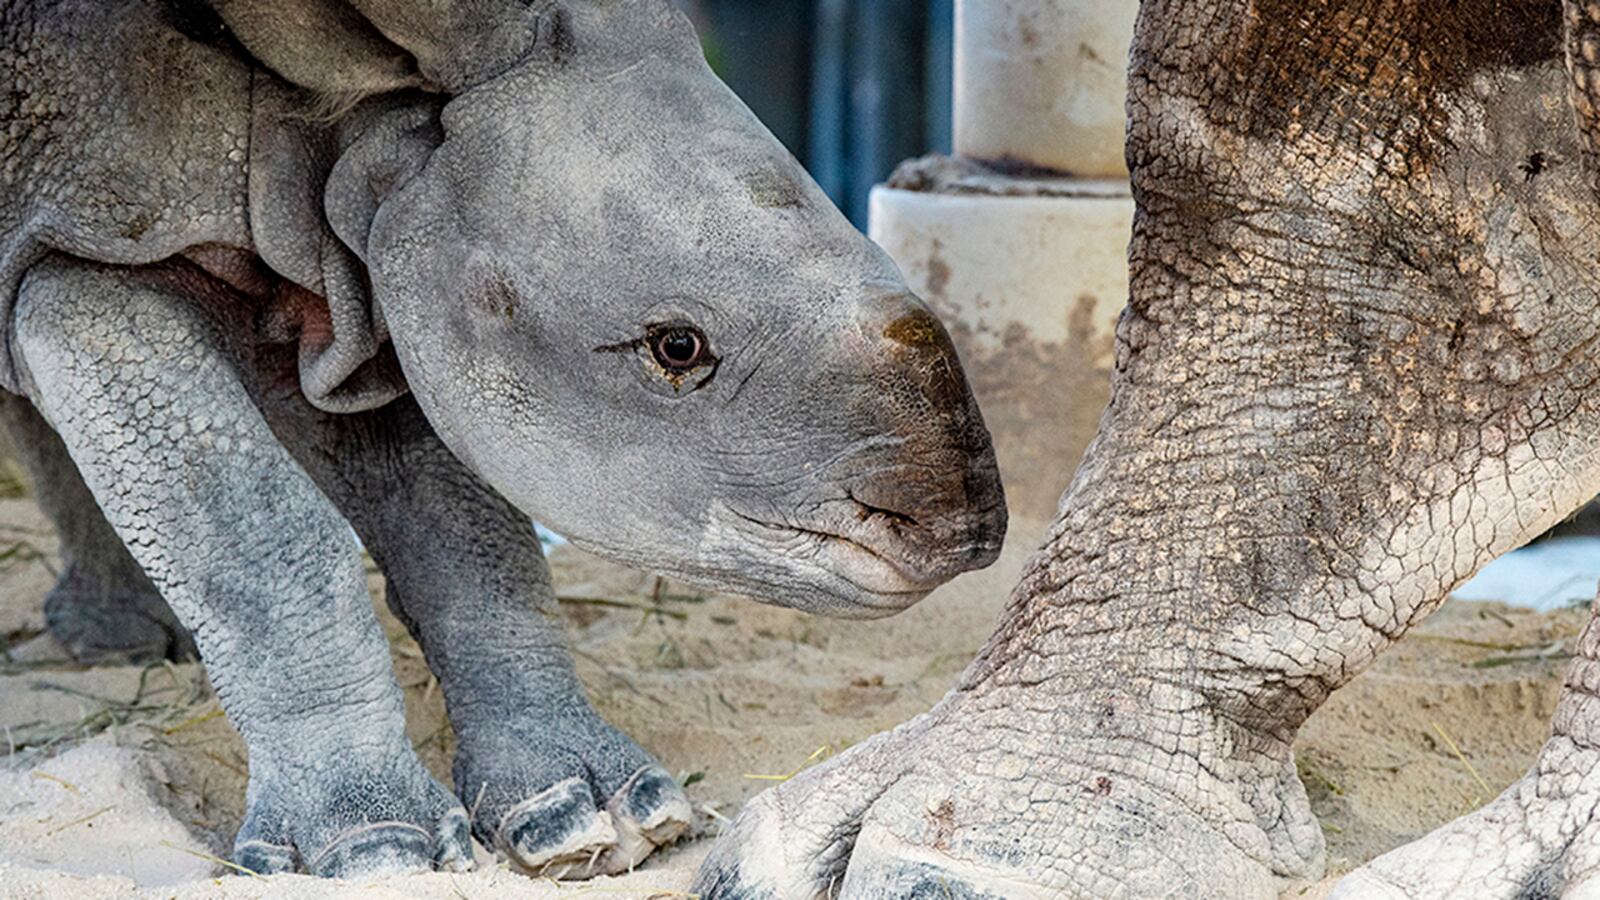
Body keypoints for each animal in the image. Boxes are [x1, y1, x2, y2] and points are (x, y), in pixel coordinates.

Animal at [0, 0, 998, 877]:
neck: (342, 132)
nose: (965, 534)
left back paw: (127, 646)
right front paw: (375, 850)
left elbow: (468, 530)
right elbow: (260, 530)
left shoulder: (380, 280)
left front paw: (590, 820)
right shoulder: (96, 236)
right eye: (677, 348)